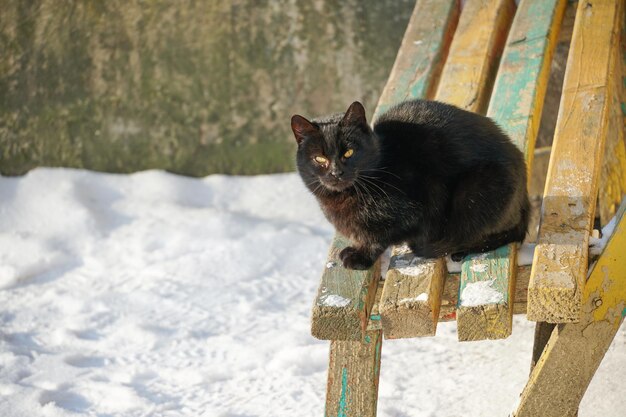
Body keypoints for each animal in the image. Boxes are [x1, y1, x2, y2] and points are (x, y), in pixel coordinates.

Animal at [292, 101, 528, 270]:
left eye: (349, 152)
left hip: (477, 191)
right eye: (319, 159)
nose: (336, 172)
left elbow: (378, 236)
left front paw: (361, 256)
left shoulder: (421, 203)